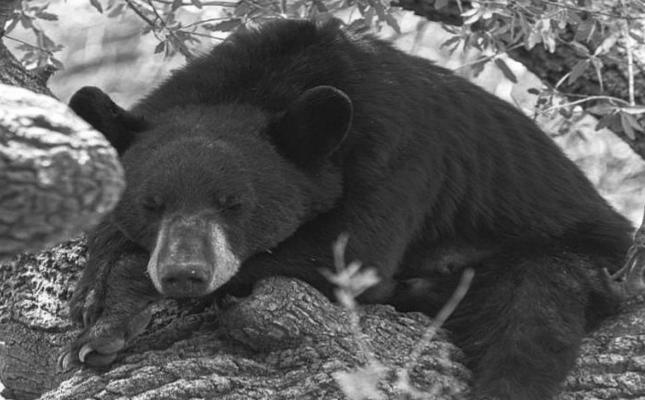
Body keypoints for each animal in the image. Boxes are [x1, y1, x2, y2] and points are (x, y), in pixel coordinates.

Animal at [64, 19, 633, 400]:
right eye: (151, 204)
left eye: (234, 204)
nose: (184, 273)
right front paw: (99, 287)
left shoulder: (397, 154)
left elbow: (351, 256)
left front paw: (114, 315)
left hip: (574, 252)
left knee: (528, 319)